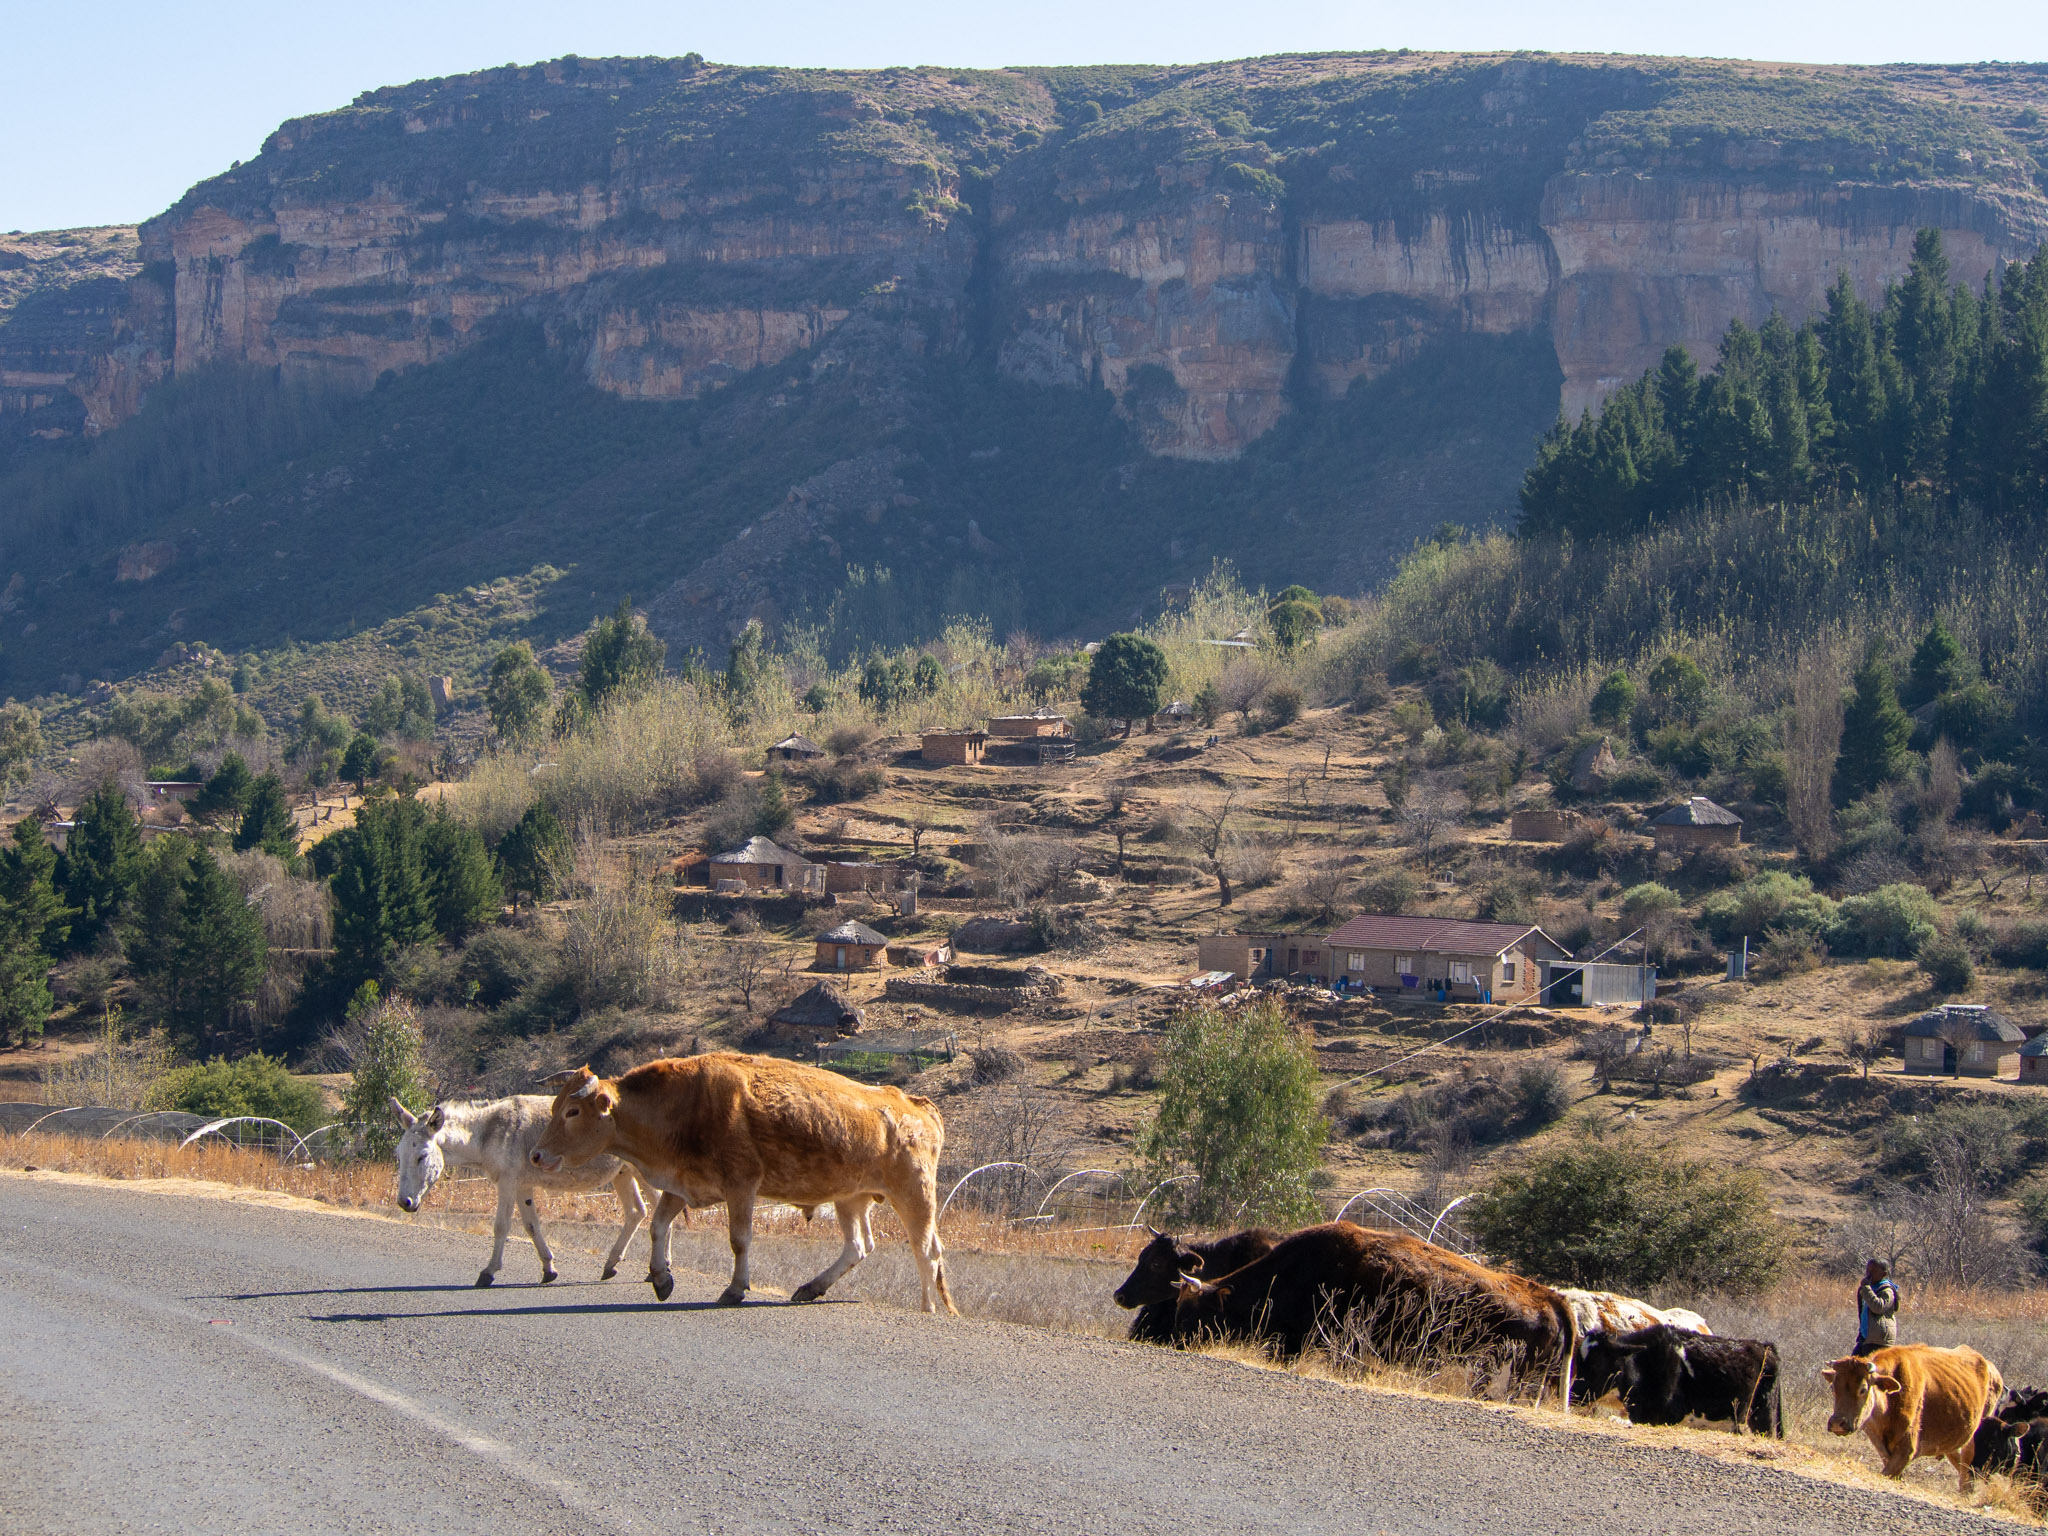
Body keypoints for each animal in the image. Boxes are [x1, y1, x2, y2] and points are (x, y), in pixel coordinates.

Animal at [391, 1096, 652, 1288]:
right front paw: (549, 1269)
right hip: (624, 1173)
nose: (404, 1203)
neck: (488, 1133)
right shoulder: (522, 1185)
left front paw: (488, 1272)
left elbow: (501, 1226)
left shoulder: (506, 1182)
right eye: (399, 1155)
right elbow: (531, 1225)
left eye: (422, 1156)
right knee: (637, 1212)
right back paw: (616, 1266)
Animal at [531, 1053, 956, 1314]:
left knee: (926, 1250)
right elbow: (658, 1225)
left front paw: (734, 1289)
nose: (536, 1155)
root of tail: (914, 1103)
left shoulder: (741, 1186)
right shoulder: (681, 1184)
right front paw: (662, 1277)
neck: (683, 1105)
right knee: (859, 1246)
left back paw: (927, 1308)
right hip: (850, 1199)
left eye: (572, 1111)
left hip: (914, 1197)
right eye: (554, 1107)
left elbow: (739, 1240)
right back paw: (811, 1288)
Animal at [1579, 1324, 1783, 1436]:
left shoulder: (1664, 1418)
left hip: (1761, 1415)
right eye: (1578, 1357)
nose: (1575, 1393)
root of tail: (1764, 1346)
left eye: (1597, 1362)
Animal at [1822, 1344, 2004, 1492]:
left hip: (1973, 1438)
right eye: (1833, 1387)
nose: (1838, 1423)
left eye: (1863, 1389)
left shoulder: (1908, 1448)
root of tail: (1991, 1368)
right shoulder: (1879, 1442)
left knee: (1967, 1470)